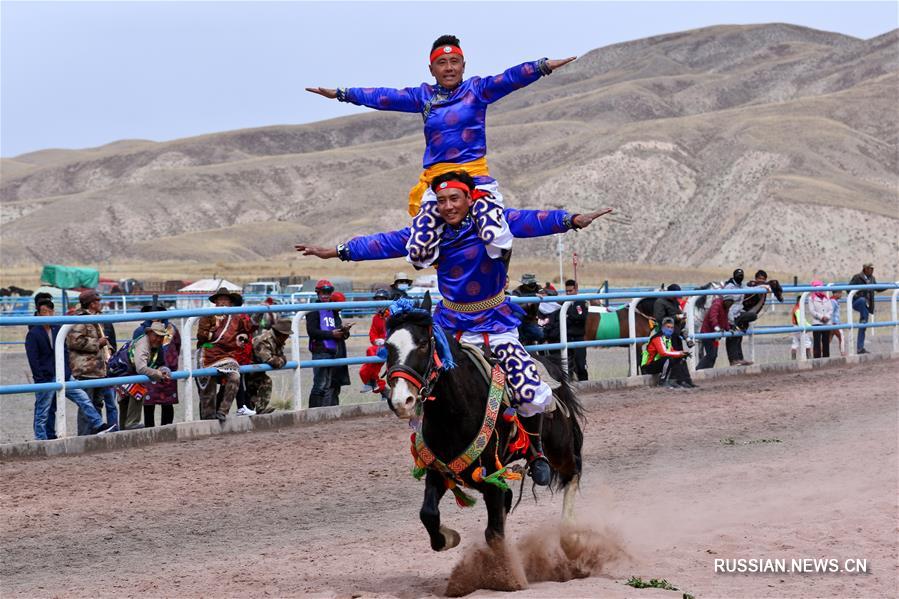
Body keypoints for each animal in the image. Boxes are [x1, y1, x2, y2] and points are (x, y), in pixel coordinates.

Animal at [384, 296, 588, 552]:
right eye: (387, 347)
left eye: (422, 344)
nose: (402, 401)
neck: (453, 414)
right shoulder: (439, 471)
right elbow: (428, 514)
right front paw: (449, 537)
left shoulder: (490, 477)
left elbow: (494, 534)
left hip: (559, 448)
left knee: (573, 472)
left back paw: (569, 534)